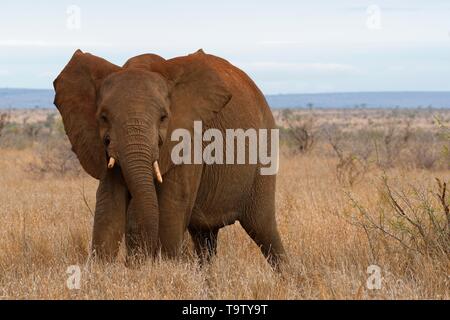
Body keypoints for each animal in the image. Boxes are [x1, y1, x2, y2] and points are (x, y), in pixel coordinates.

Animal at [52, 48, 284, 268]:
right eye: (103, 117)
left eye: (164, 117)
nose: (131, 262)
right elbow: (108, 205)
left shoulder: (190, 138)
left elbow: (171, 206)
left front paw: (166, 267)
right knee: (205, 239)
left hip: (264, 153)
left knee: (263, 229)